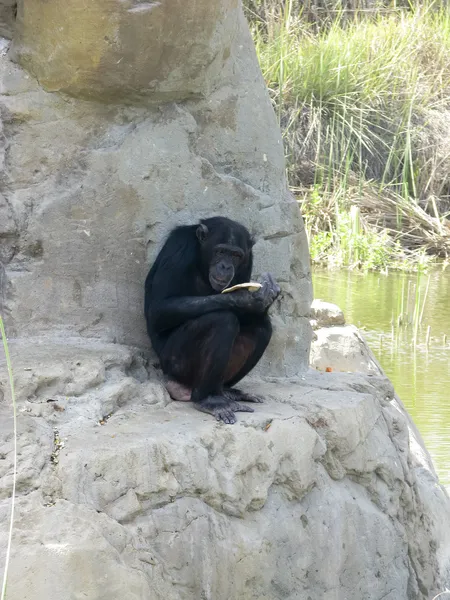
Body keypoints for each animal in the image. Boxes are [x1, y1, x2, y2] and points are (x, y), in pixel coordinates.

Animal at [144, 216, 280, 422]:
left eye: (236, 255)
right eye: (221, 251)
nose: (225, 266)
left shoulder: (249, 259)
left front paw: (264, 297)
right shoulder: (179, 248)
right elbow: (160, 308)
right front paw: (244, 298)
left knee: (261, 327)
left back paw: (227, 391)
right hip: (174, 364)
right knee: (220, 320)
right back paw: (211, 400)